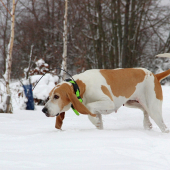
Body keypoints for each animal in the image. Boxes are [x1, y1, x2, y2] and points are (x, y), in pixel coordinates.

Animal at [42, 53, 170, 133]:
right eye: (48, 97)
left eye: (56, 96)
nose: (44, 110)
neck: (81, 86)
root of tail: (154, 75)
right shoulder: (98, 110)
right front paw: (97, 123)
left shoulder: (108, 103)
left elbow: (89, 108)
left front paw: (95, 121)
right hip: (131, 102)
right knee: (144, 110)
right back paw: (147, 123)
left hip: (154, 109)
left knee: (163, 126)